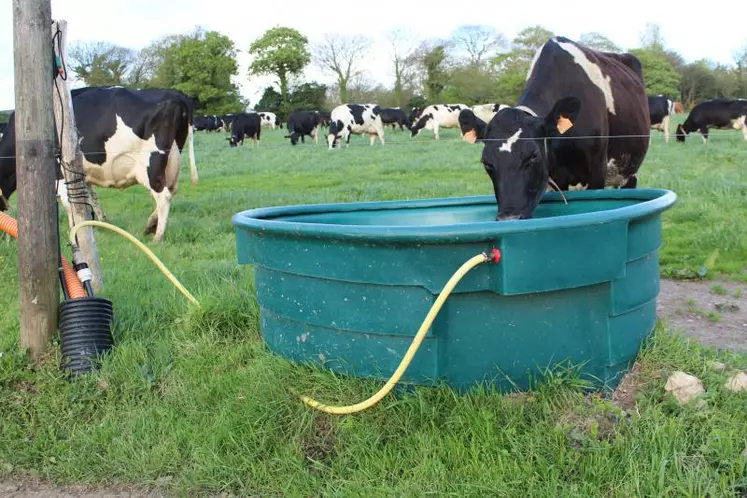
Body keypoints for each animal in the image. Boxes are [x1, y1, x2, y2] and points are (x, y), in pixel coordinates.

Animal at [0, 87, 196, 243]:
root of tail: (174, 94)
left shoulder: (60, 173)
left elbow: (70, 205)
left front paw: (74, 234)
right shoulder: (81, 174)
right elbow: (89, 199)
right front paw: (98, 223)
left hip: (150, 165)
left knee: (163, 196)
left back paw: (157, 236)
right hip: (172, 160)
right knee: (171, 191)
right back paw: (150, 225)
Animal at [458, 35, 652, 220]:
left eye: (533, 156)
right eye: (487, 163)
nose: (509, 218)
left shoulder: (597, 171)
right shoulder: (554, 180)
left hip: (629, 172)